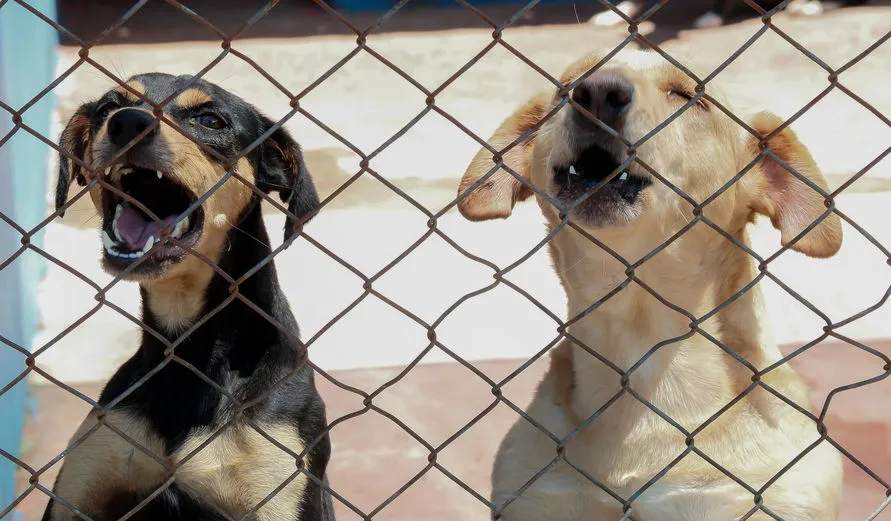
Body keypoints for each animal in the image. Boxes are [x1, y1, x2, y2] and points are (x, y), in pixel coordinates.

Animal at [43, 73, 334, 520]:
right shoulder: (78, 490)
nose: (127, 122)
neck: (189, 348)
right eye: (109, 107)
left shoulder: (281, 486)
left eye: (211, 120)